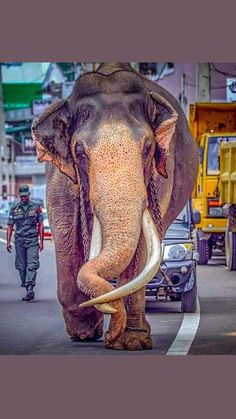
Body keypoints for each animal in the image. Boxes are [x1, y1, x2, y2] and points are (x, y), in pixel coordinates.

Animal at [30, 62, 197, 352]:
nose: (109, 336)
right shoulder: (60, 176)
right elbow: (65, 232)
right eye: (79, 151)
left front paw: (129, 341)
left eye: (148, 147)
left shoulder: (160, 174)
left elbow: (142, 250)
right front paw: (85, 331)